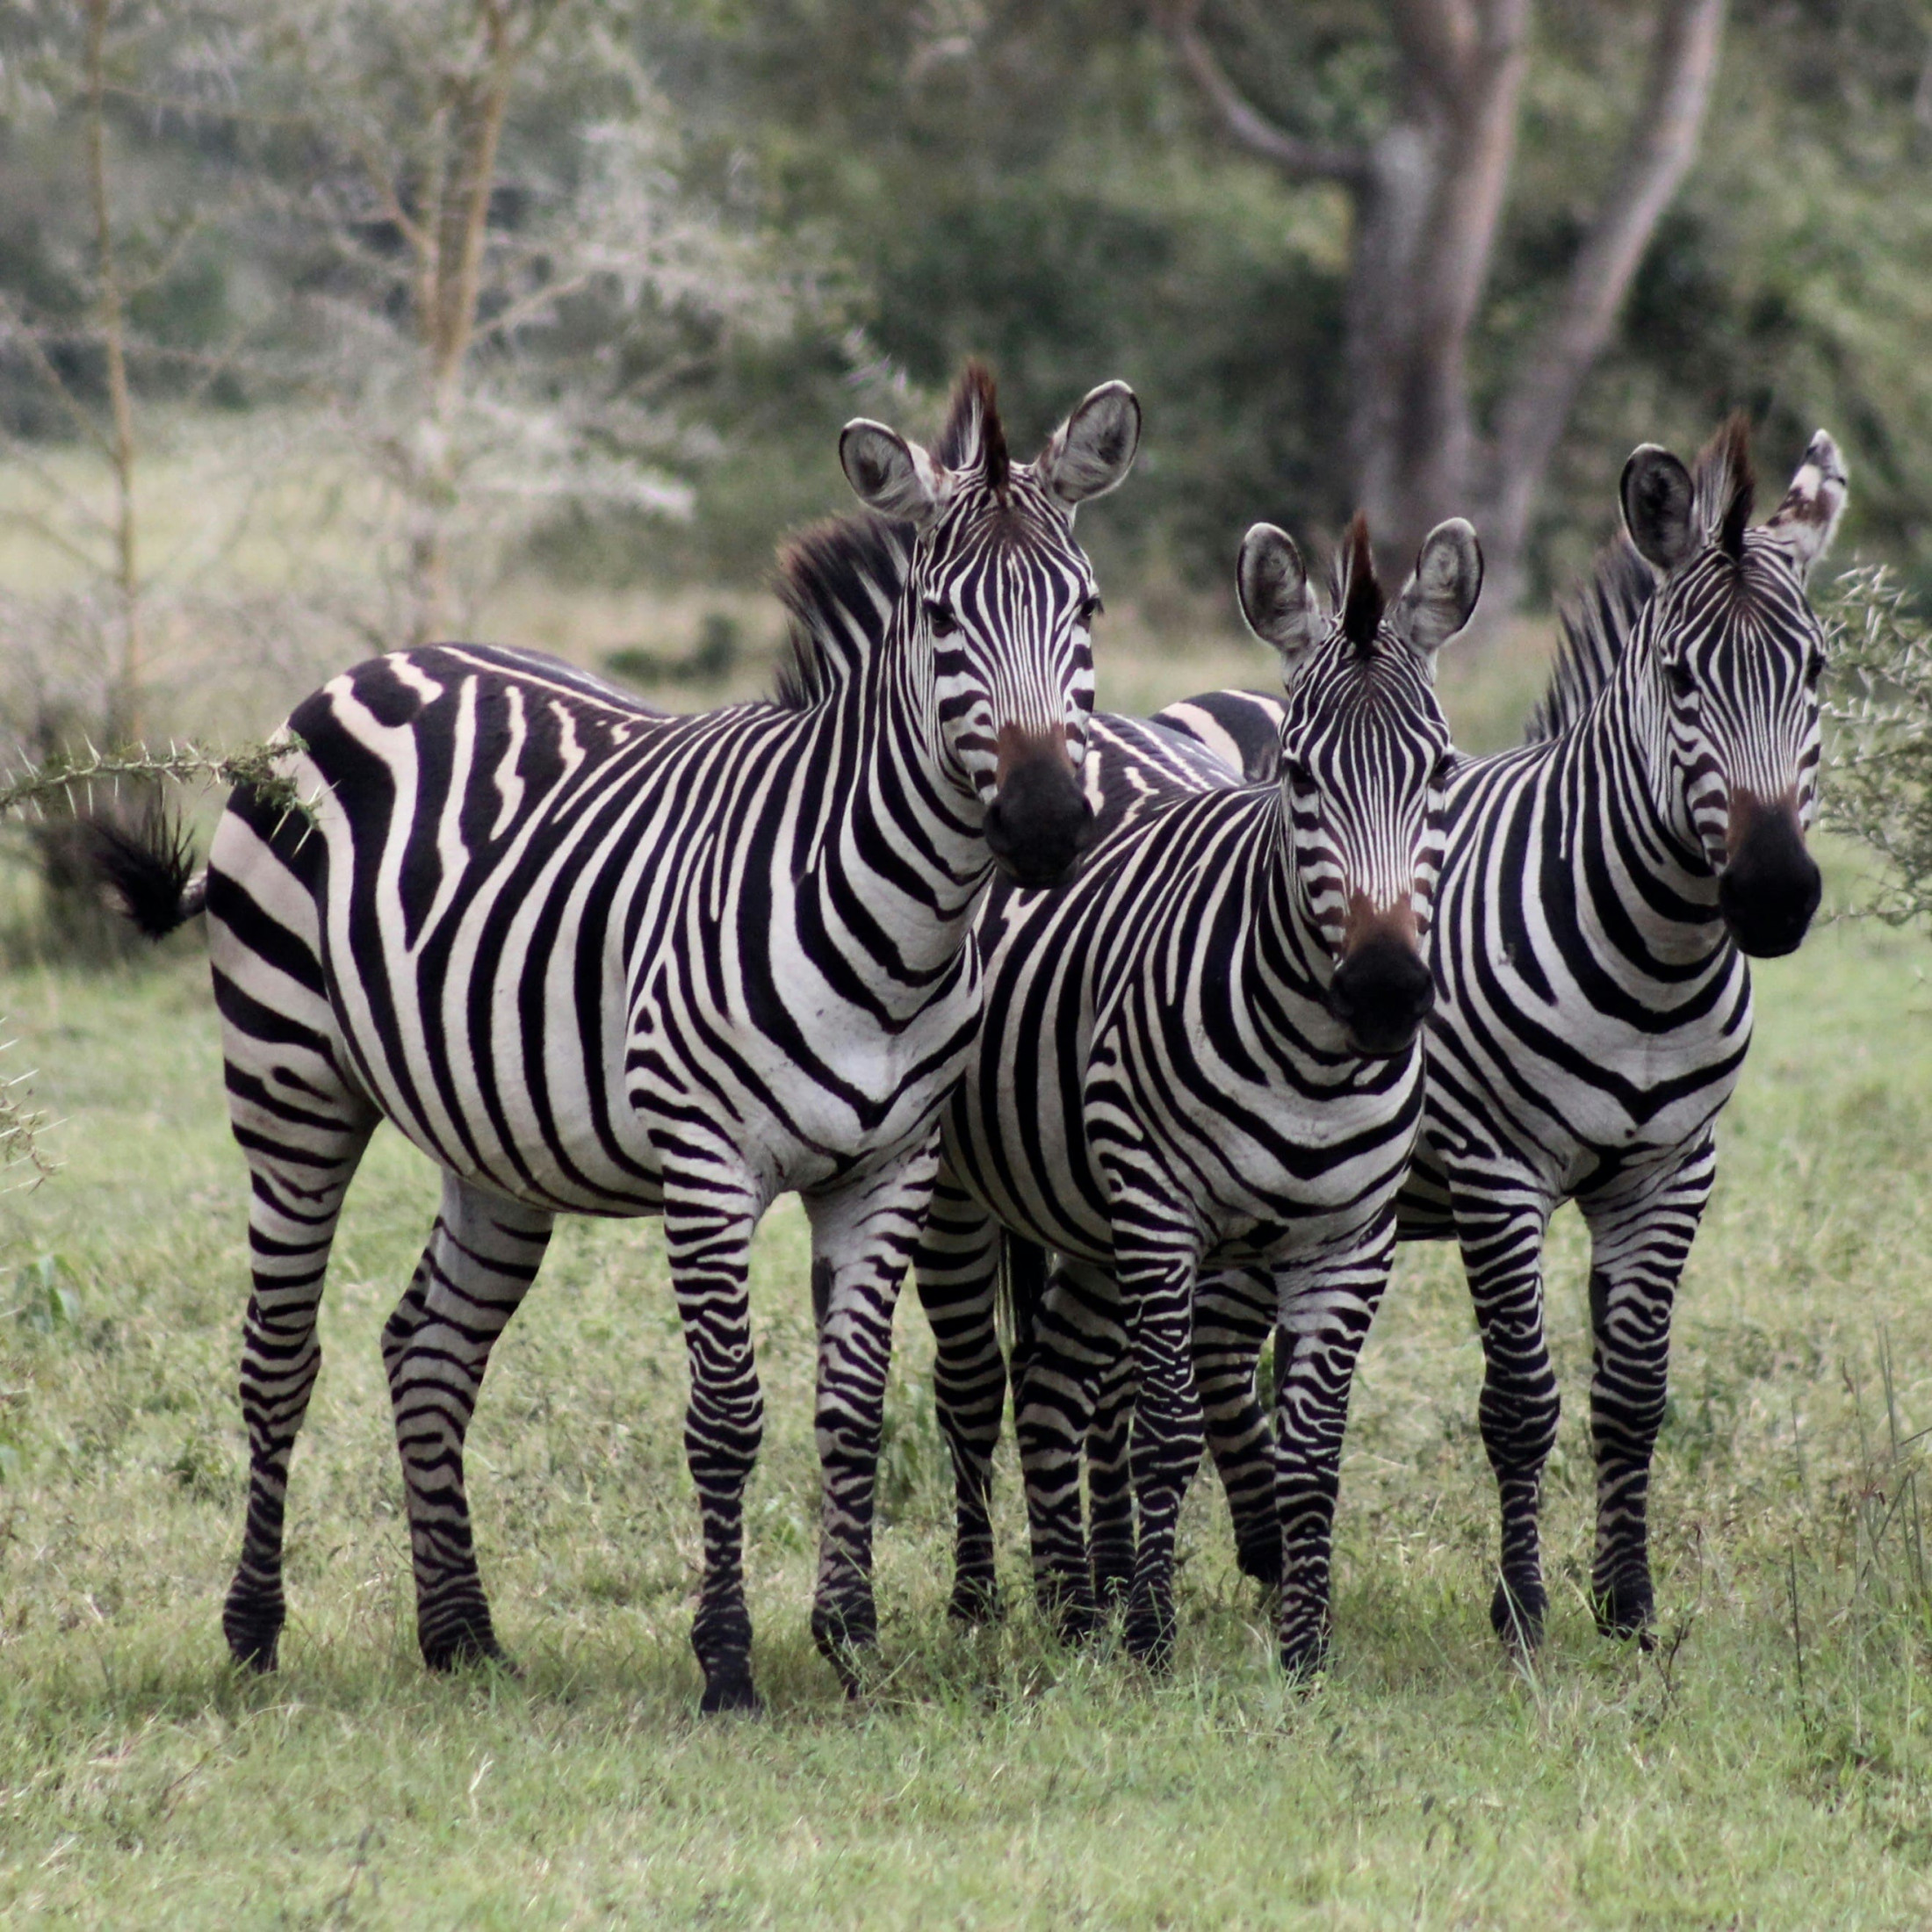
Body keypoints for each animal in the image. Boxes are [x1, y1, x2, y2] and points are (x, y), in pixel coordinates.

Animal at [90, 363, 1135, 1707]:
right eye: (941, 616)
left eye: (1087, 608)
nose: (1051, 826)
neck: (895, 926)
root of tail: (364, 671)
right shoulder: (707, 1159)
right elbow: (728, 1414)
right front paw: (728, 1661)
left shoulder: (891, 1167)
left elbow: (852, 1408)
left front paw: (851, 1641)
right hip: (291, 1085)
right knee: (281, 1355)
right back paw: (255, 1630)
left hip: (491, 1136)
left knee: (427, 1351)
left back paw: (461, 1633)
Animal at [912, 514, 1483, 1676]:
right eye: (1299, 776)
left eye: (1441, 769)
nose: (1384, 990)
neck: (1315, 1064)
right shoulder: (1163, 1214)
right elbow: (1169, 1434)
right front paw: (1151, 1638)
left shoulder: (1350, 1239)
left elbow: (1312, 1450)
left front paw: (1304, 1651)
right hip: (972, 1197)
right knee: (973, 1392)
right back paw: (986, 1603)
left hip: (1087, 1219)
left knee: (1051, 1389)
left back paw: (1068, 1611)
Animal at [1082, 415, 1847, 1654]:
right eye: (1679, 678)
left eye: (1817, 671)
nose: (1773, 894)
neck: (1654, 957)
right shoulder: (1500, 1170)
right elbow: (1521, 1400)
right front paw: (1523, 1609)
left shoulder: (1672, 1170)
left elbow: (1634, 1396)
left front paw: (1628, 1604)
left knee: (1216, 1352)